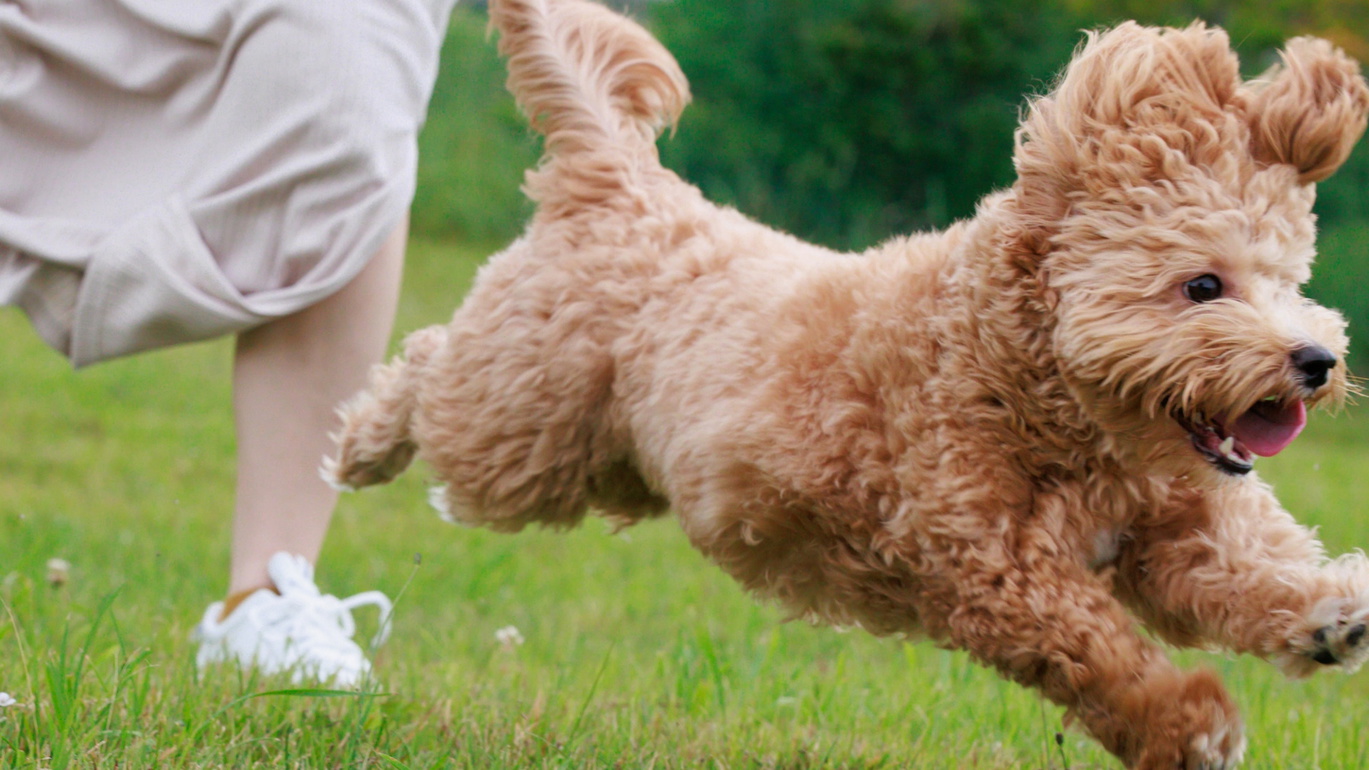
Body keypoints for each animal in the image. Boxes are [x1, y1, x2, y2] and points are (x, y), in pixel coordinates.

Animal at [328, 2, 1369, 761]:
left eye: (1290, 278)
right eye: (1203, 285)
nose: (1315, 362)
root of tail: (628, 182)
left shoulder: (1175, 534)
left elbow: (1250, 575)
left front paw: (1336, 612)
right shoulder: (985, 564)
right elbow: (1095, 648)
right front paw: (1188, 726)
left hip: (602, 463)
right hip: (518, 430)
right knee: (431, 369)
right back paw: (361, 444)